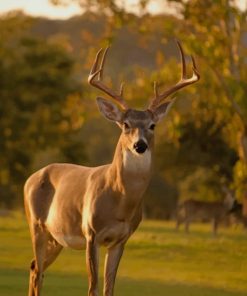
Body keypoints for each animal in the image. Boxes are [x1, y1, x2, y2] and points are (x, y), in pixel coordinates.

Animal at [24, 40, 200, 296]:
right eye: (125, 124)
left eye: (152, 125)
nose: (139, 145)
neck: (119, 202)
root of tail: (30, 178)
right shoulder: (91, 234)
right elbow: (93, 288)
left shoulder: (121, 239)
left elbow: (109, 288)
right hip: (36, 224)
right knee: (37, 271)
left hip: (56, 238)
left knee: (34, 267)